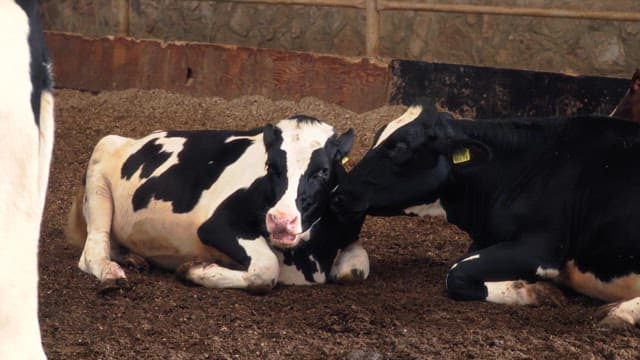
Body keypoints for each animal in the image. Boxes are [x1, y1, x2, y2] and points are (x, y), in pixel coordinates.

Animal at [66, 116, 370, 294]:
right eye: (271, 166)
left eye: (323, 171)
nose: (281, 220)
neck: (310, 258)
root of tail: (134, 139)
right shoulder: (216, 225)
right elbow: (266, 268)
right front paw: (194, 270)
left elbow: (356, 270)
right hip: (99, 170)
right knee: (93, 248)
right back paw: (110, 271)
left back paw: (132, 257)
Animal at [332, 103, 640, 326]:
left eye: (398, 148)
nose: (337, 194)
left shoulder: (541, 248)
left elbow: (456, 273)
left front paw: (535, 291)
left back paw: (620, 312)